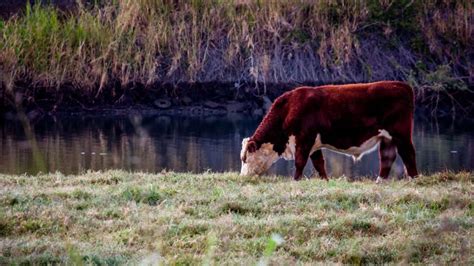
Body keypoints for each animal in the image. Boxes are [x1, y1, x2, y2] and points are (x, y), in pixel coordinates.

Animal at [241, 80, 418, 182]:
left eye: (245, 158)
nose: (243, 178)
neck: (288, 109)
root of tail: (402, 86)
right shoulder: (313, 144)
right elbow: (319, 163)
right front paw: (324, 180)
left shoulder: (304, 139)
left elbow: (300, 162)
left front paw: (295, 180)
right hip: (387, 138)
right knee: (387, 158)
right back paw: (380, 181)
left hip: (401, 133)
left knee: (408, 154)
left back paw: (414, 178)